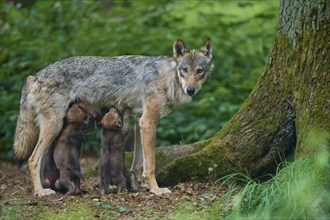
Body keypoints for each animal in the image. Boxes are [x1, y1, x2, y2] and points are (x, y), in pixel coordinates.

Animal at [12, 38, 214, 196]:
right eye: (184, 70)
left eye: (199, 71)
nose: (191, 90)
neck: (167, 78)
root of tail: (34, 76)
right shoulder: (148, 122)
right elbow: (150, 164)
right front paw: (156, 189)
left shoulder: (139, 122)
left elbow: (138, 164)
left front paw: (140, 186)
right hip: (53, 126)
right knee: (32, 159)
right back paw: (40, 192)